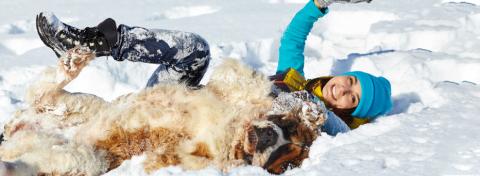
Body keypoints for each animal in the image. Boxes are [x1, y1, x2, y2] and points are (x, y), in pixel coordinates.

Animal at [0, 47, 326, 175]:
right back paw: (73, 61)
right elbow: (247, 81)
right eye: (287, 127)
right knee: (42, 90)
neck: (229, 135)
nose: (269, 137)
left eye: (286, 160)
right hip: (84, 106)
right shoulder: (230, 90)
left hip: (87, 158)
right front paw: (310, 109)